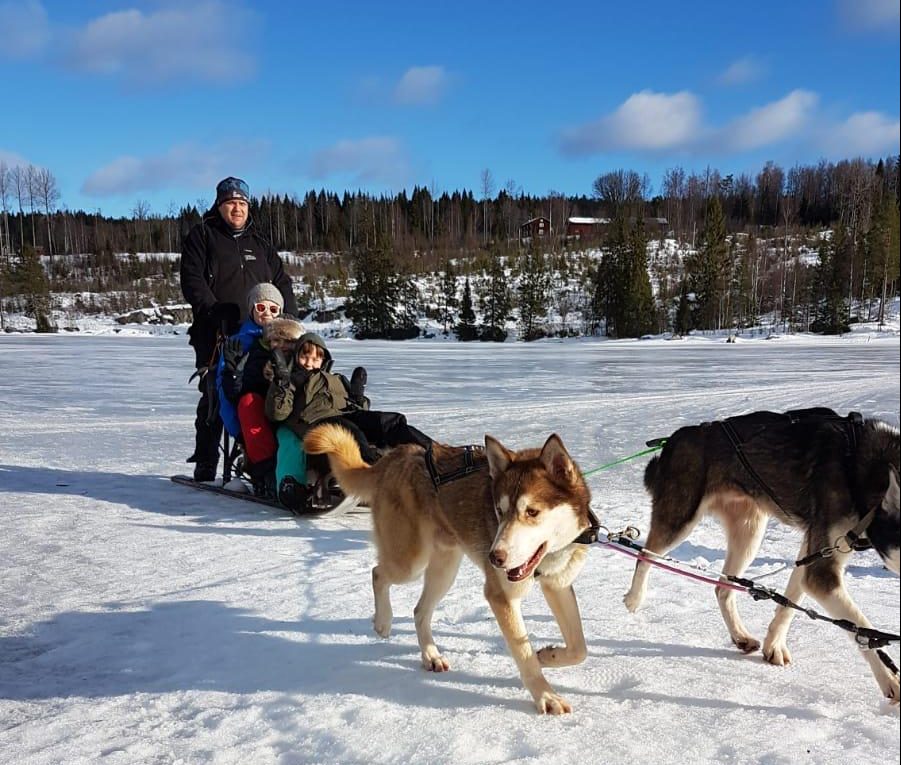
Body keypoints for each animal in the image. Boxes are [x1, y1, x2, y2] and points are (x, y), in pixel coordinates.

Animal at [304, 426, 596, 712]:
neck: (551, 553)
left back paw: (430, 655)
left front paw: (548, 655)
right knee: (378, 573)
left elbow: (580, 649)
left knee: (419, 610)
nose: (494, 558)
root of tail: (399, 454)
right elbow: (524, 656)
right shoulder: (501, 596)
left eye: (532, 512)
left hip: (444, 571)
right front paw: (546, 696)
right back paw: (383, 621)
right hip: (410, 563)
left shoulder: (558, 585)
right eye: (499, 511)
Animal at [624, 408, 900, 700]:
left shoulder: (815, 552)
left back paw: (740, 636)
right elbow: (863, 629)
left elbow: (789, 602)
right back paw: (634, 597)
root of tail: (674, 440)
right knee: (645, 555)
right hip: (680, 518)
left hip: (749, 533)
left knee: (722, 588)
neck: (861, 463)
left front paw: (773, 645)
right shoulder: (822, 571)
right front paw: (890, 679)